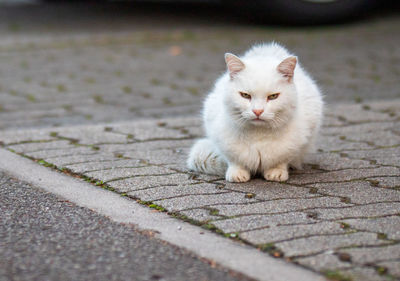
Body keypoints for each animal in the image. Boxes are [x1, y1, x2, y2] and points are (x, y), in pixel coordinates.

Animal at [188, 41, 324, 182]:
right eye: (245, 95)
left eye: (273, 96)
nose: (257, 111)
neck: (258, 136)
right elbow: (234, 161)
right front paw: (237, 174)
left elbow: (281, 161)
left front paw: (276, 173)